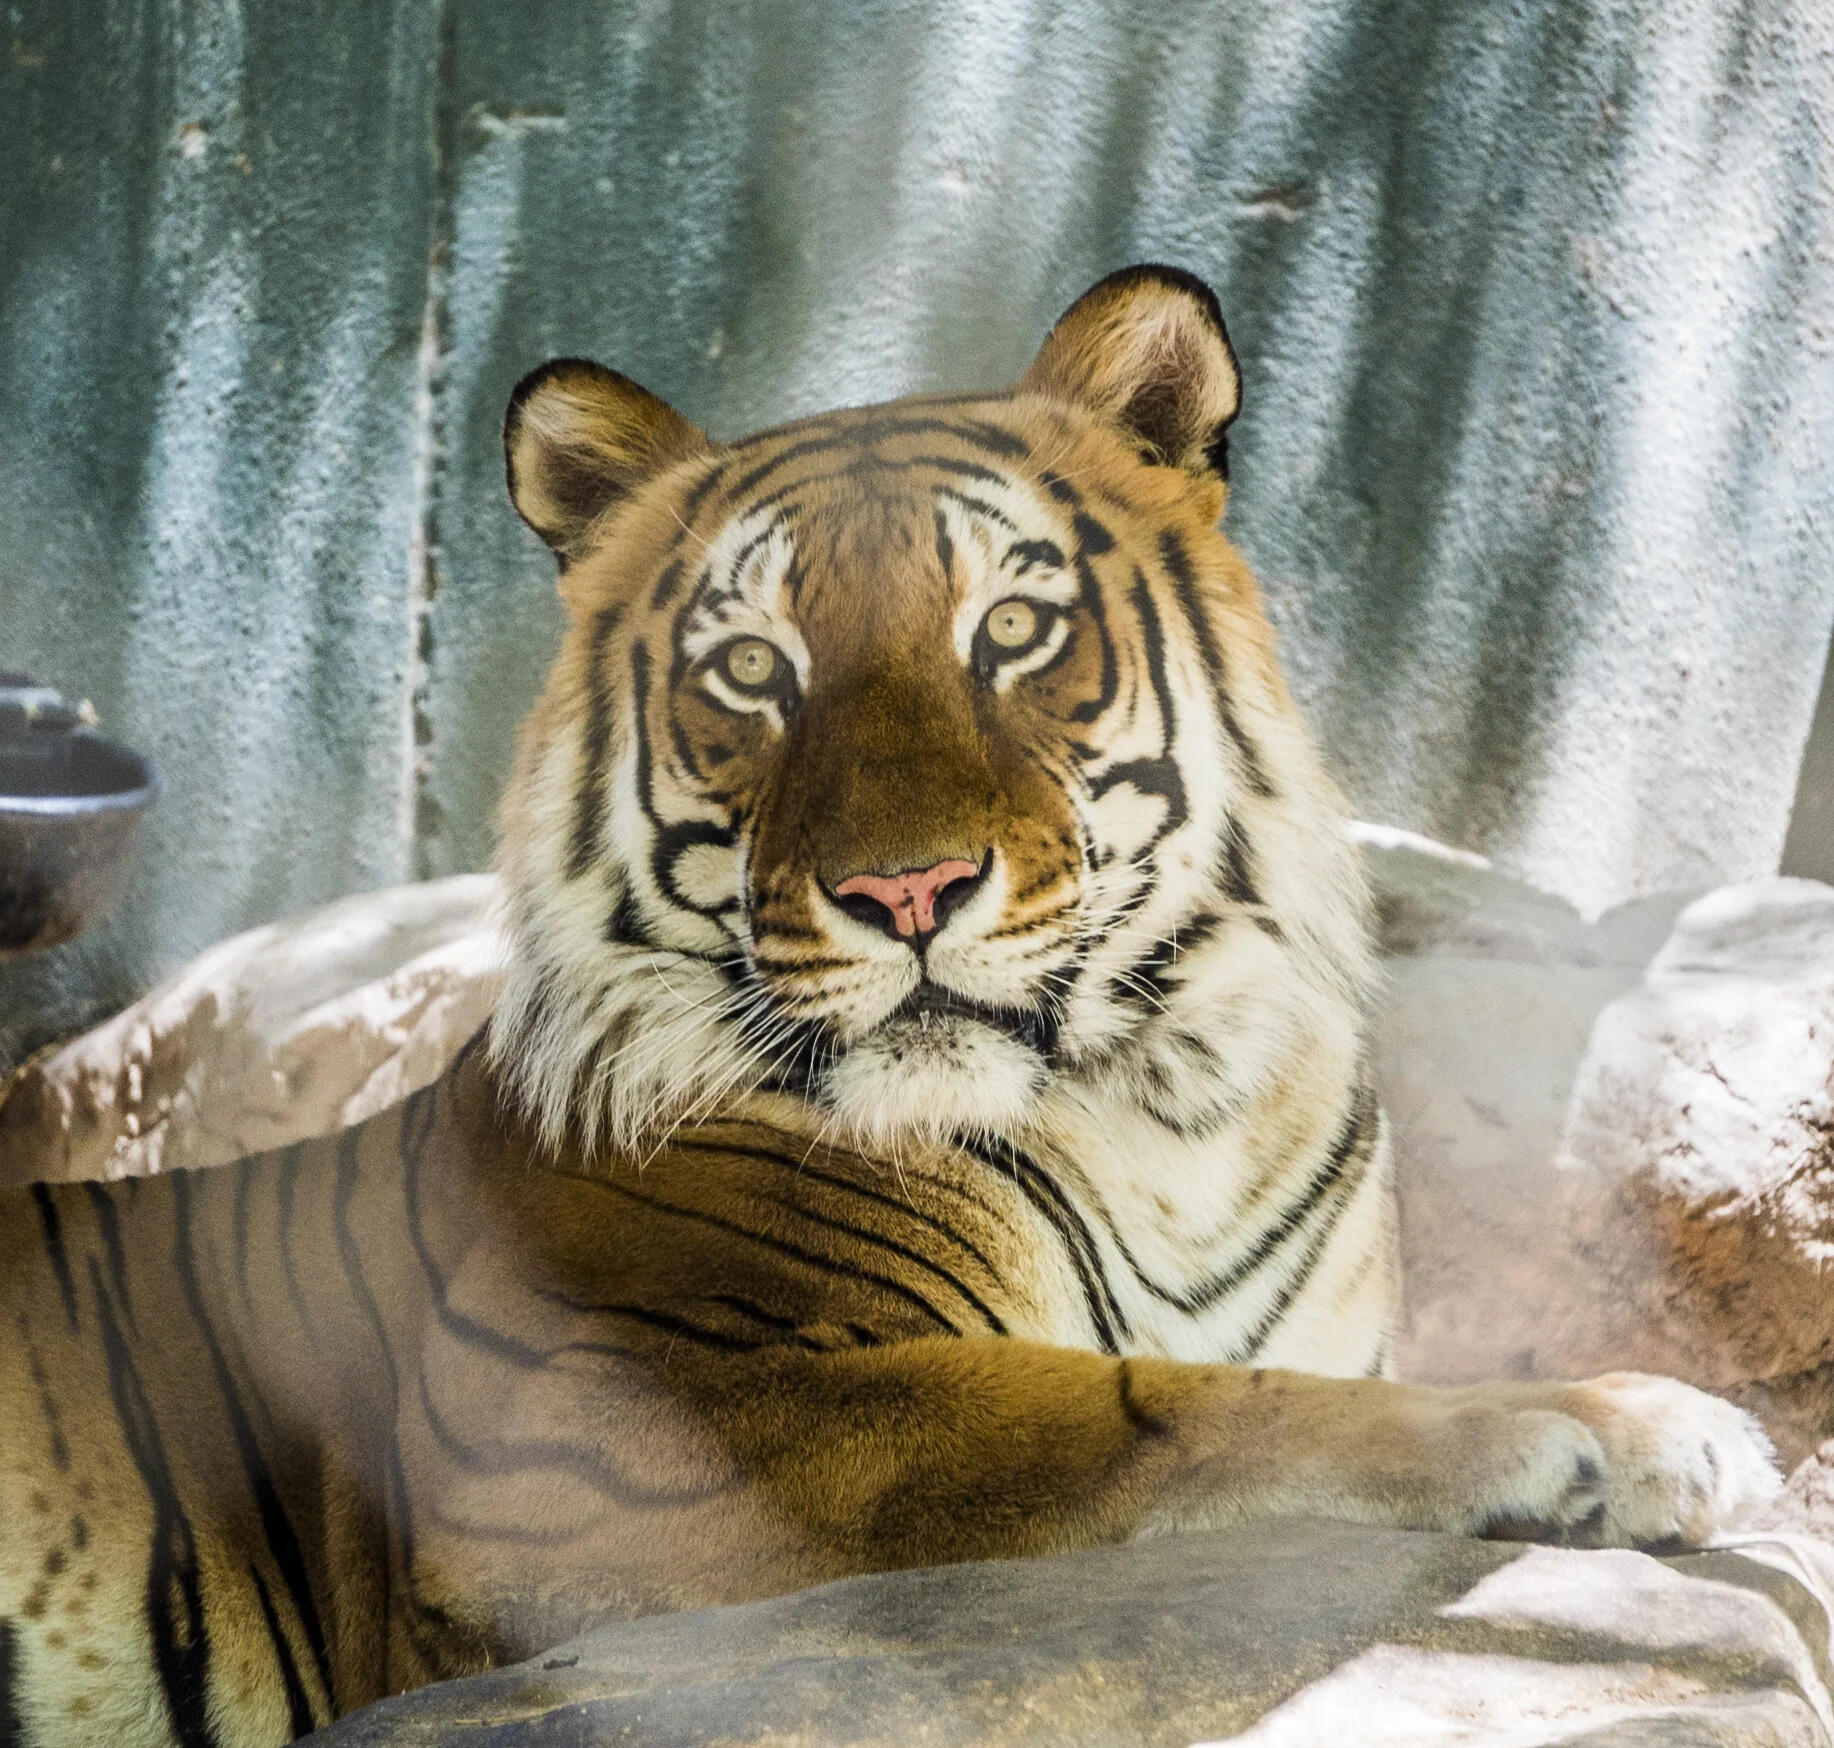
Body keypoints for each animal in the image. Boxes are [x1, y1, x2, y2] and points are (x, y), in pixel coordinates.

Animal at [0, 265, 1779, 1746]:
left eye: (1013, 629)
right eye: (750, 671)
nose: (908, 892)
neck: (1165, 1114)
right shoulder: (575, 1443)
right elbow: (1140, 1406)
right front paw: (1619, 1428)